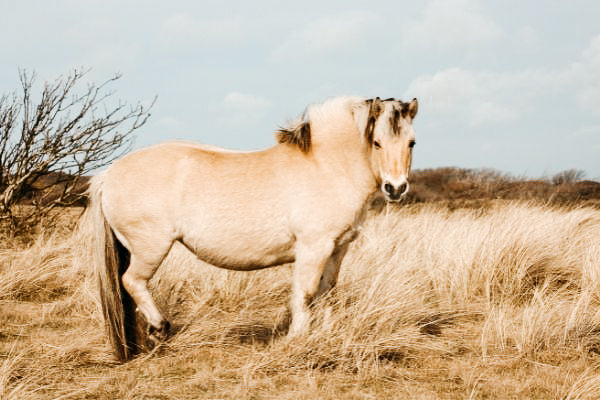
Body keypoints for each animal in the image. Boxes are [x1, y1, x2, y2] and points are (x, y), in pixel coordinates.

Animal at [85, 95, 418, 360]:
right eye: (376, 142)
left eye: (411, 142)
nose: (396, 188)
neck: (327, 165)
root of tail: (109, 174)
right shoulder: (313, 249)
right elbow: (305, 294)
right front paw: (297, 340)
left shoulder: (337, 250)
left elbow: (326, 293)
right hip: (149, 248)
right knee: (132, 282)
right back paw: (159, 327)